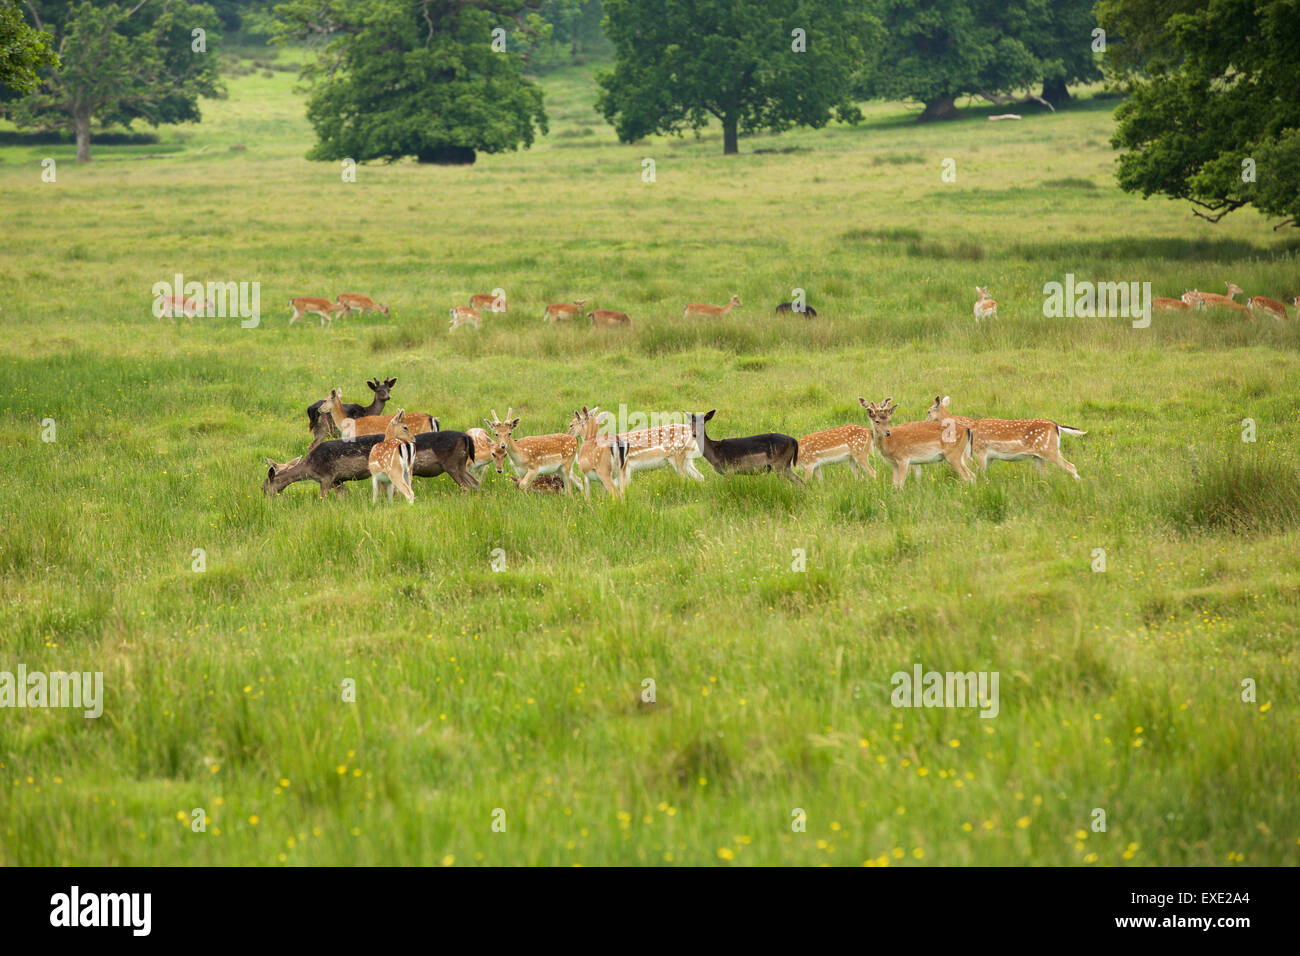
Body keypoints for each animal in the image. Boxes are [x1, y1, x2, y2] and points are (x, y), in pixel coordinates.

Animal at [925, 392, 1086, 478]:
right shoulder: (988, 456)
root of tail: (1056, 426)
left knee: (1071, 466)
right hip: (1038, 456)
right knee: (1047, 474)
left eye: (928, 411)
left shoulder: (980, 451)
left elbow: (980, 473)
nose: (924, 422)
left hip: (1049, 449)